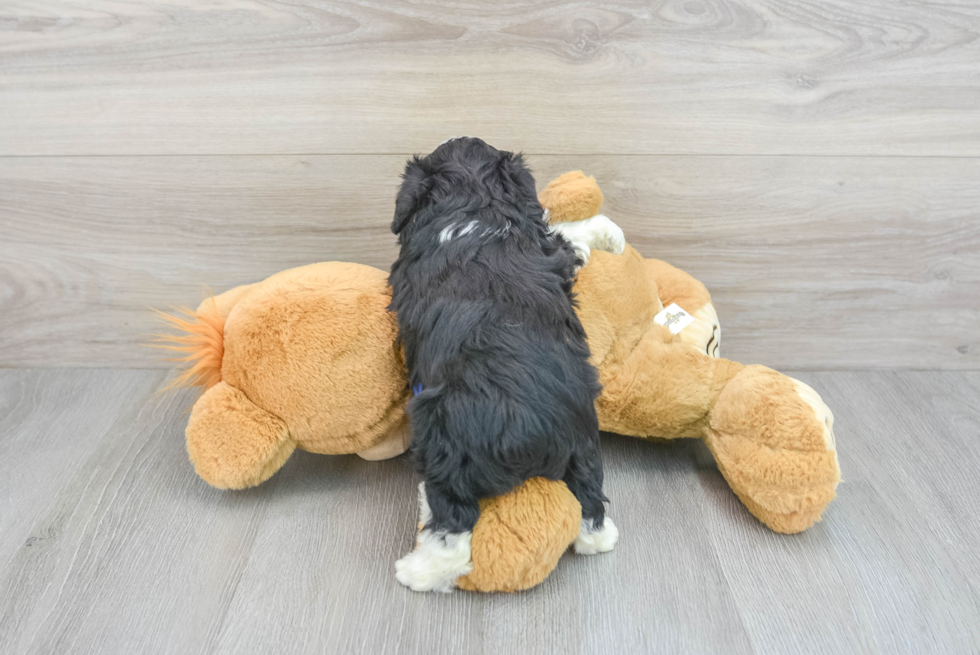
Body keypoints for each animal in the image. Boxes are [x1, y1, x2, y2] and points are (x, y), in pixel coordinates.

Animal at [386, 136, 616, 592]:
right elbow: (563, 234)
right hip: (584, 440)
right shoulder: (550, 251)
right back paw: (601, 537)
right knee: (590, 500)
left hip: (442, 445)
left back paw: (416, 571)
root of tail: (525, 429)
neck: (474, 205)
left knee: (453, 529)